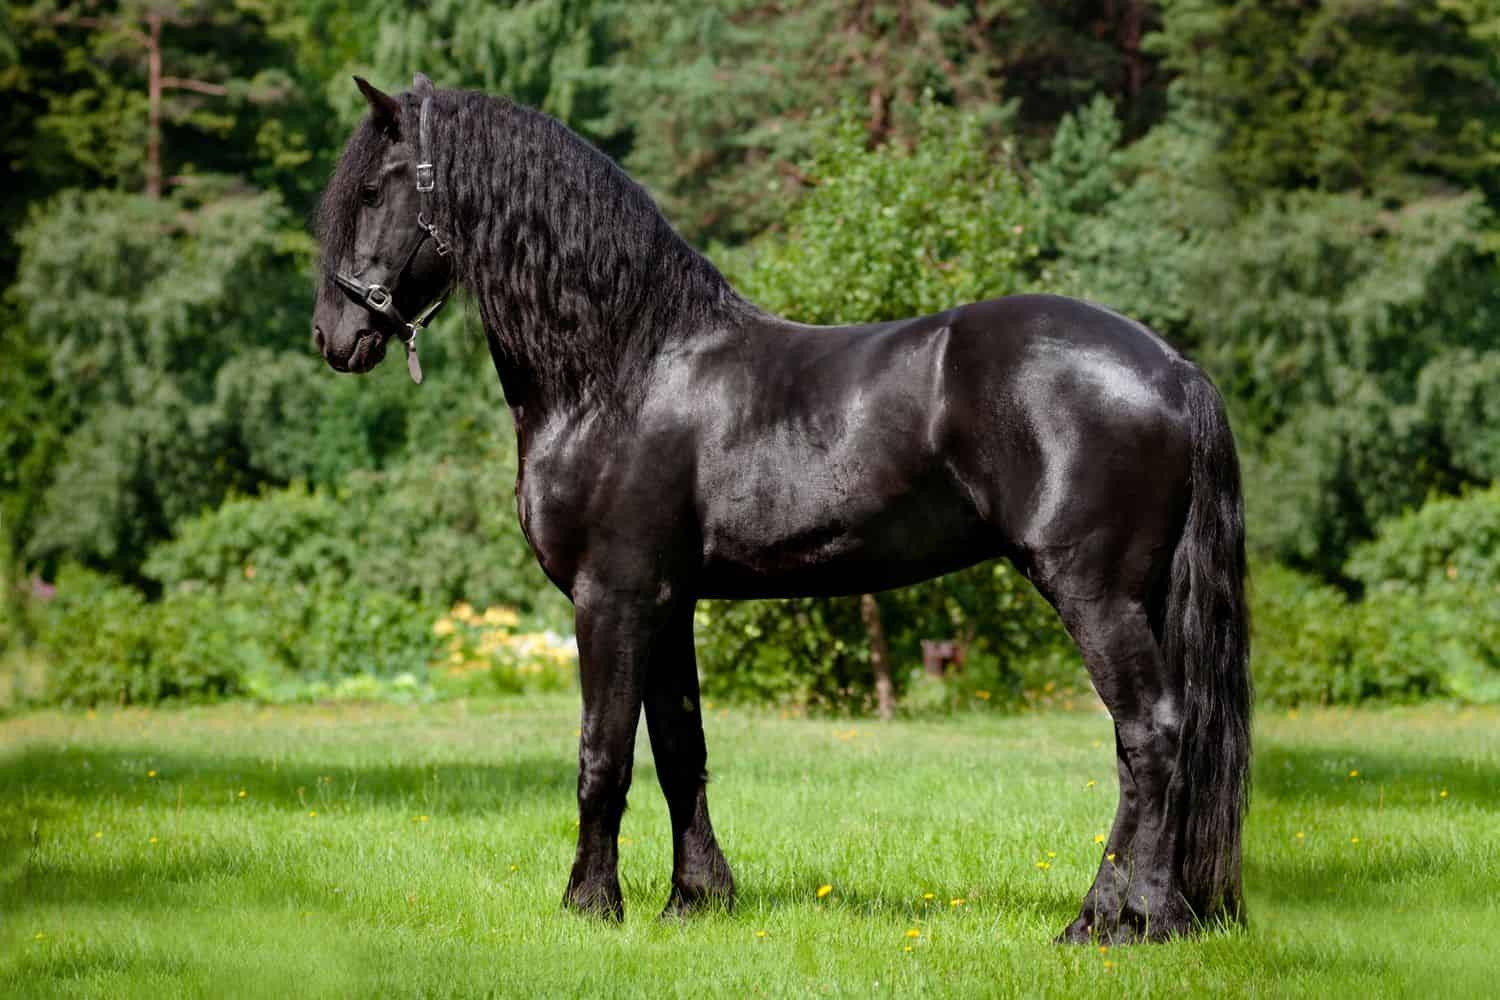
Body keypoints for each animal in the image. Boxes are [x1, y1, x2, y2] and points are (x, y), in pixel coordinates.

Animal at [312, 74, 1251, 943]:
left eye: (373, 191)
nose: (332, 337)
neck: (623, 369)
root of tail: (1172, 368)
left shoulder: (611, 598)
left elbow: (602, 756)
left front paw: (590, 905)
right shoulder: (668, 603)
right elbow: (678, 750)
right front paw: (695, 899)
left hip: (1094, 592)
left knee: (1151, 734)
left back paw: (1134, 920)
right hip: (1141, 596)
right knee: (1146, 744)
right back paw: (1115, 919)